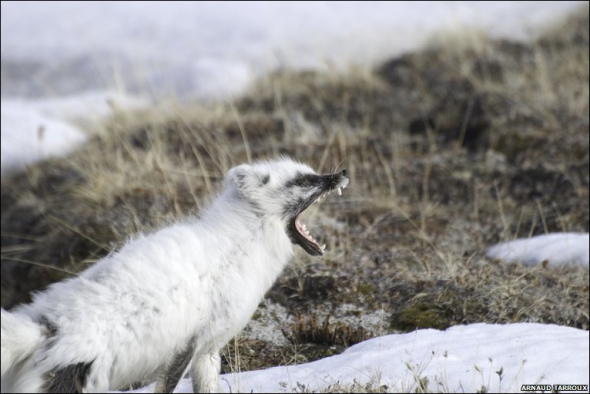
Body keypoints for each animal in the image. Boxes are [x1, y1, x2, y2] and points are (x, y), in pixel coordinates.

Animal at [1, 156, 352, 390]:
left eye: (310, 173)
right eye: (302, 180)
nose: (343, 172)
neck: (239, 246)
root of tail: (47, 326)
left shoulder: (208, 350)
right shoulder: (187, 346)